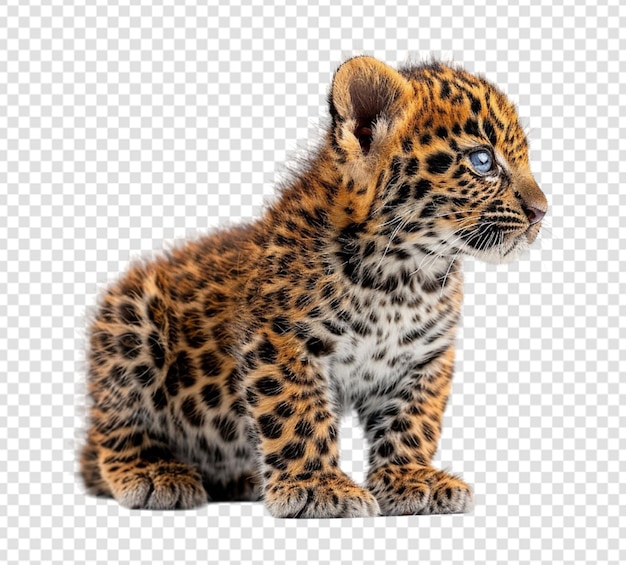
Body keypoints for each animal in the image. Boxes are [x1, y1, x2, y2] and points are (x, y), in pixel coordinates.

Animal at [80, 56, 544, 516]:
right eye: (482, 161)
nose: (542, 211)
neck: (403, 278)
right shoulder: (280, 340)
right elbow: (297, 413)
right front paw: (318, 487)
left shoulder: (424, 358)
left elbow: (414, 419)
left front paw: (412, 477)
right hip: (131, 324)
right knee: (117, 430)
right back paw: (154, 474)